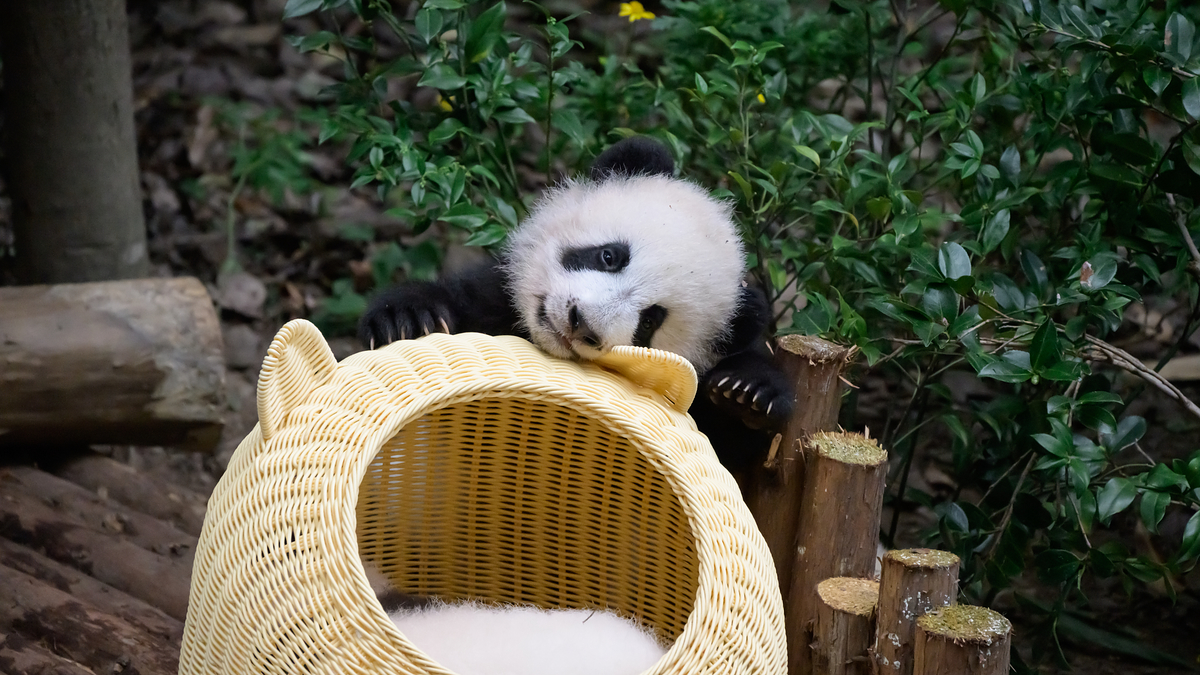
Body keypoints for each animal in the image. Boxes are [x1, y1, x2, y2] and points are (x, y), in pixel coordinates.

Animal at [359, 136, 793, 472]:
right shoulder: (494, 299)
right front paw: (410, 317)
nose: (581, 322)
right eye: (609, 256)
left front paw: (748, 391)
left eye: (649, 323)